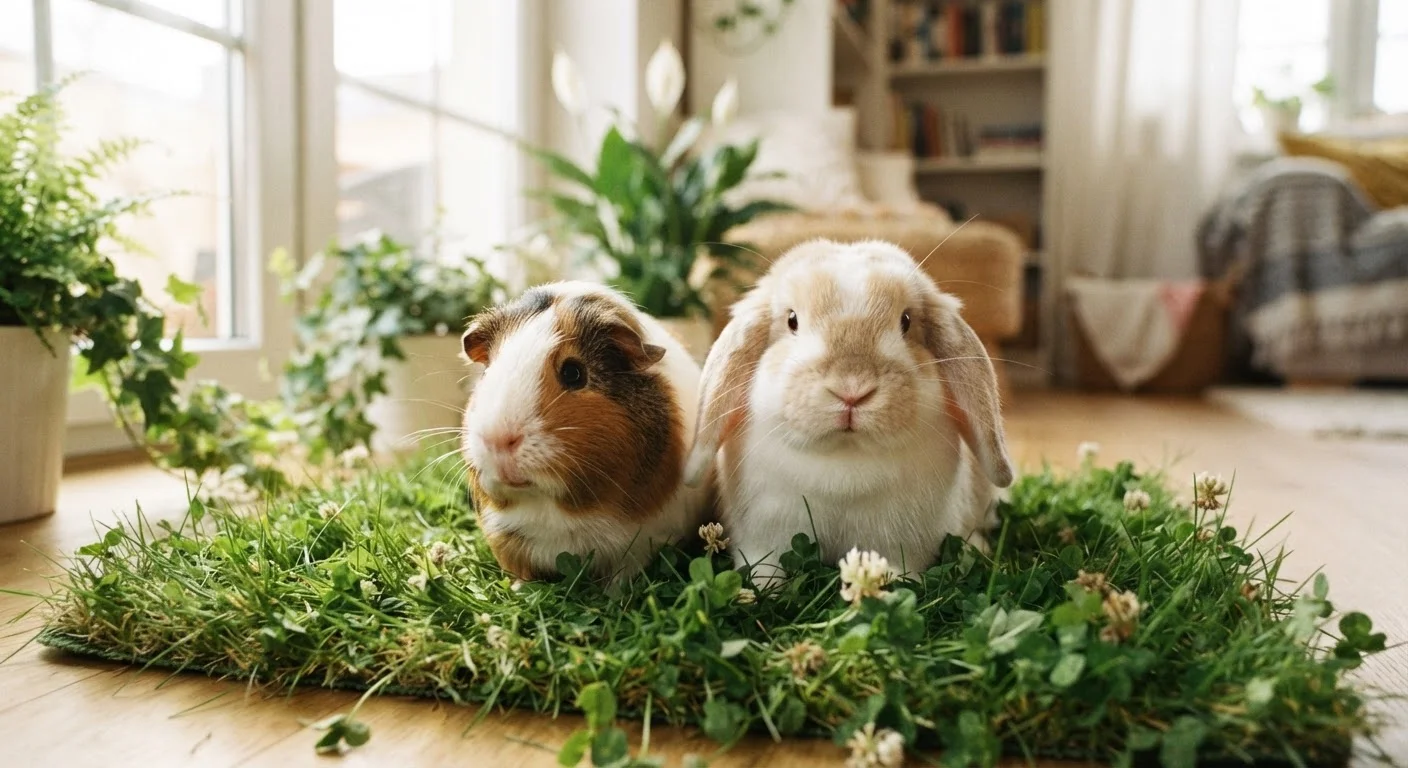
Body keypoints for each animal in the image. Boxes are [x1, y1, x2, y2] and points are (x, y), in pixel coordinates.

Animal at [460, 281, 712, 582]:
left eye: (573, 373)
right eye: (487, 373)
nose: (497, 439)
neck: (556, 512)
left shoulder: (639, 545)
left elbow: (621, 576)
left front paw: (614, 592)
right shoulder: (506, 539)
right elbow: (522, 572)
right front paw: (519, 588)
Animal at [684, 239, 1014, 587]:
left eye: (906, 321)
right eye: (792, 320)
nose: (852, 389)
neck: (844, 459)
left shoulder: (902, 542)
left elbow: (900, 566)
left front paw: (892, 583)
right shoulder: (761, 535)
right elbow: (765, 566)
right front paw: (763, 588)